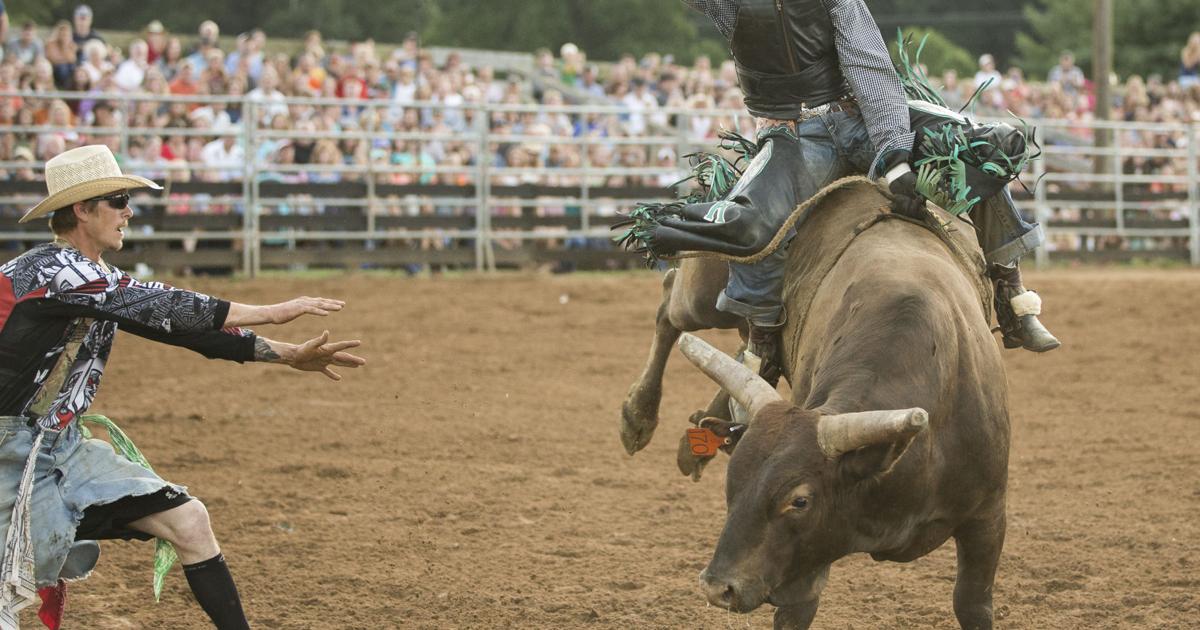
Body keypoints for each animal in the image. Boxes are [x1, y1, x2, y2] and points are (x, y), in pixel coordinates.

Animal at [619, 178, 1010, 629]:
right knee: (671, 306)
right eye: (733, 481)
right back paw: (637, 417)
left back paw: (700, 435)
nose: (719, 588)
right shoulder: (800, 567)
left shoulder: (988, 518)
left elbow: (972, 603)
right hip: (705, 290)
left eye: (800, 500)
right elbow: (796, 610)